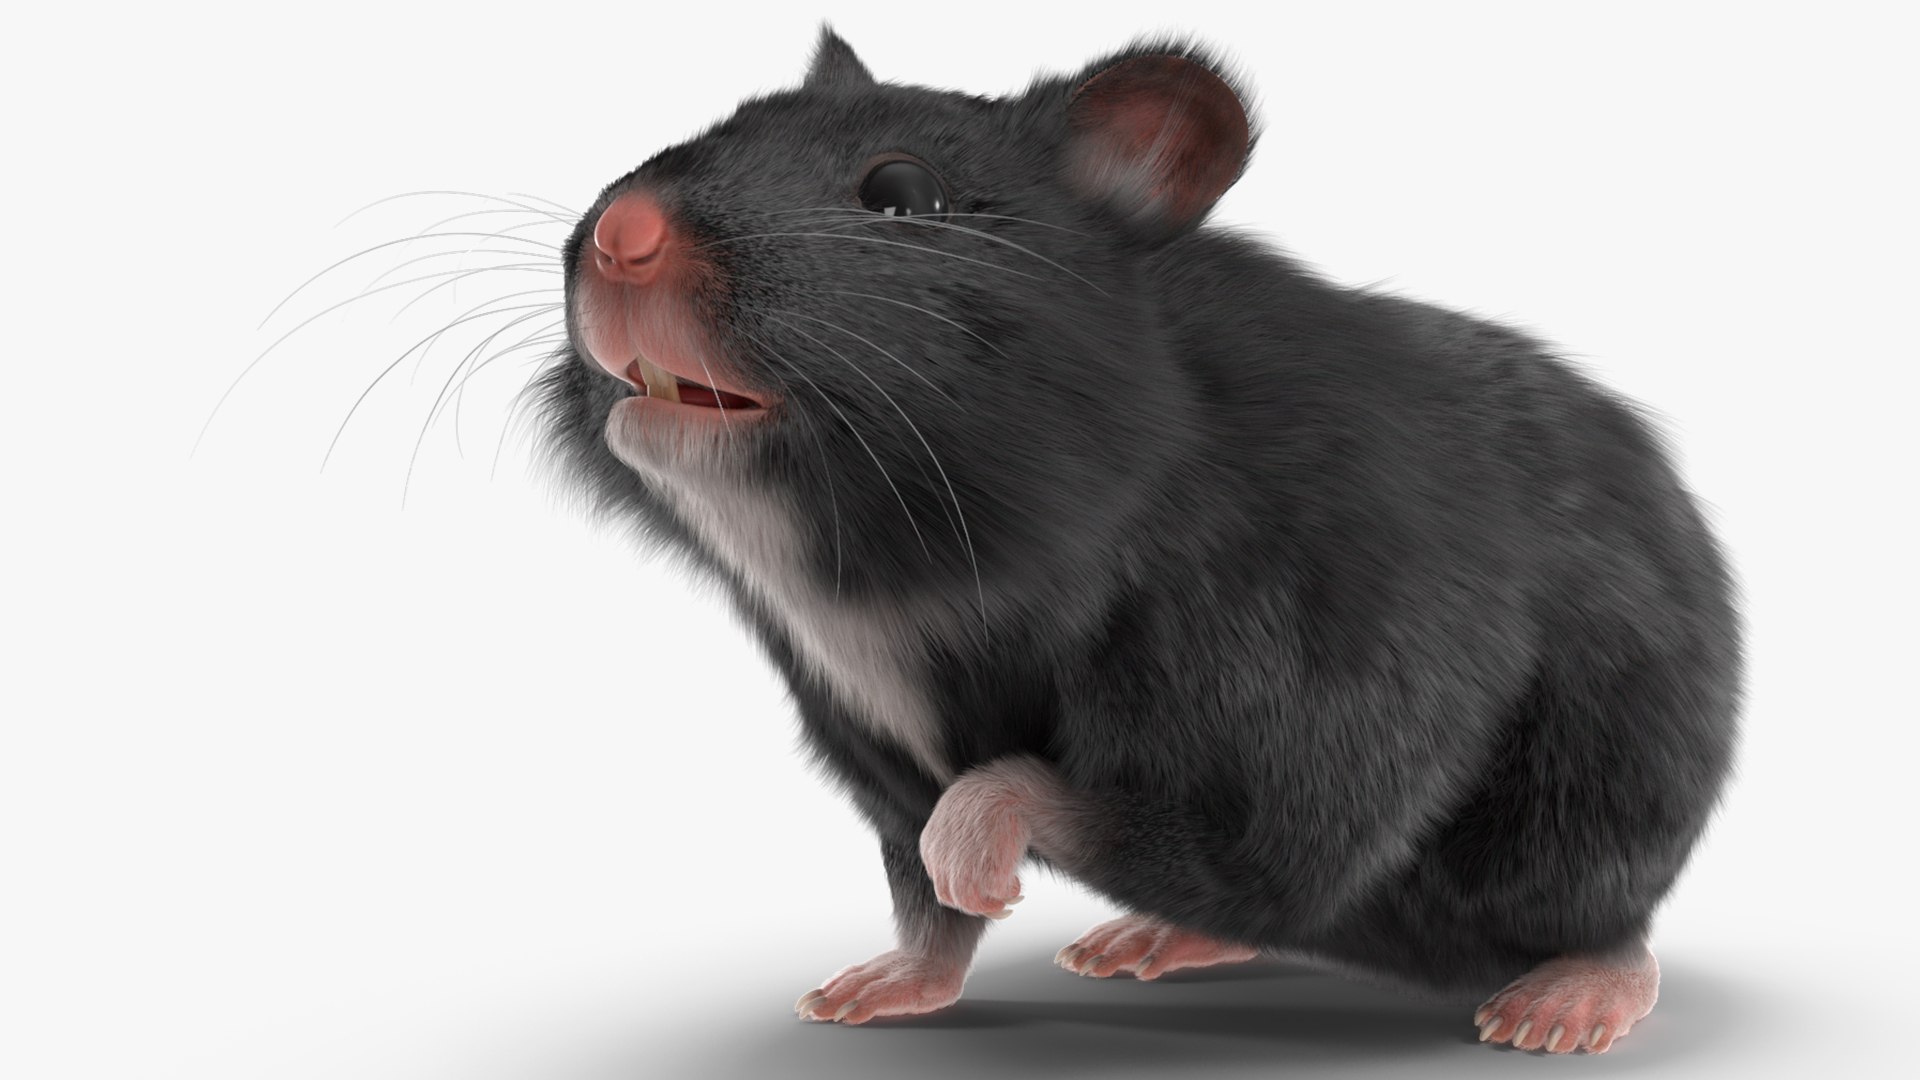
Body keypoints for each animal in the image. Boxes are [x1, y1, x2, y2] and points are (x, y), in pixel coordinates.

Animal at [532, 29, 1741, 1054]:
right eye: (725, 122)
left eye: (901, 196)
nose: (621, 236)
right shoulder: (868, 735)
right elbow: (923, 896)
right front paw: (888, 984)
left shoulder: (1295, 674)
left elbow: (1165, 814)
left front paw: (982, 853)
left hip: (1592, 799)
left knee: (1595, 919)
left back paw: (1569, 994)